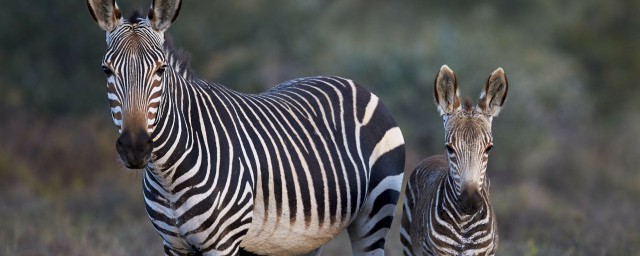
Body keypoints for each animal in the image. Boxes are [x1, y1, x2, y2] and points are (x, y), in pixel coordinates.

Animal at [87, 0, 404, 256]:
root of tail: (352, 83)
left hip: (373, 216)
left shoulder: (223, 243)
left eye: (161, 70)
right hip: (305, 239)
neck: (168, 174)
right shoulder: (173, 245)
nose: (135, 147)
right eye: (106, 70)